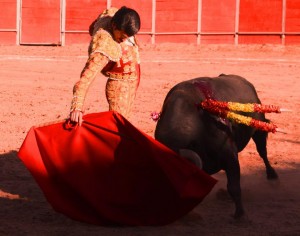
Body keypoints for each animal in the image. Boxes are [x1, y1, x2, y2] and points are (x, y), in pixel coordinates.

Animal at [155, 74, 278, 218]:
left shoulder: (230, 158)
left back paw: (272, 174)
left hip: (259, 129)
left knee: (262, 152)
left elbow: (234, 187)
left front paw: (239, 214)